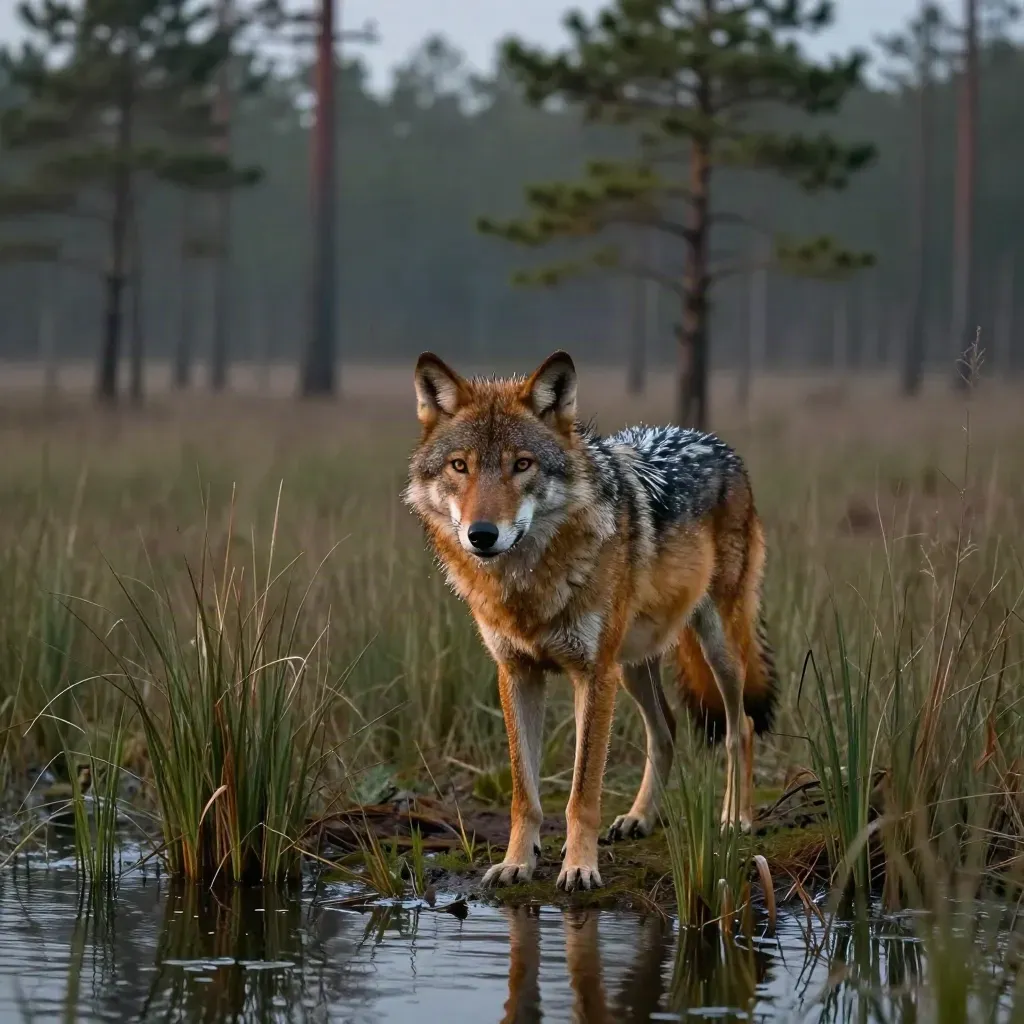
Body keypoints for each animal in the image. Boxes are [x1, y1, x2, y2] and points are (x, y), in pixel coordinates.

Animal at [403, 350, 778, 892]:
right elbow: (525, 792)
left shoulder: (592, 674)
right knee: (666, 729)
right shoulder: (518, 673)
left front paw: (579, 867)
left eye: (522, 464)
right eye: (460, 466)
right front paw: (518, 862)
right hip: (633, 664)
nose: (482, 534)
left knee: (740, 726)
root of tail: (715, 442)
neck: (528, 587)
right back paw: (639, 818)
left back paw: (736, 818)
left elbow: (582, 792)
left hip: (714, 649)